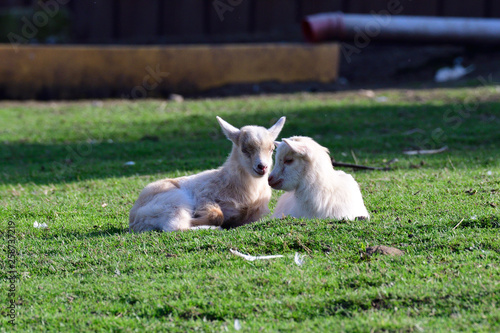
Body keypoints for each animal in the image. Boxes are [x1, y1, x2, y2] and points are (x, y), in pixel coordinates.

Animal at [128, 115, 286, 232]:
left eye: (272, 149)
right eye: (244, 149)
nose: (262, 167)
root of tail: (135, 219)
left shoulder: (256, 215)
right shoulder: (204, 197)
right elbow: (217, 215)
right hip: (173, 200)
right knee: (175, 226)